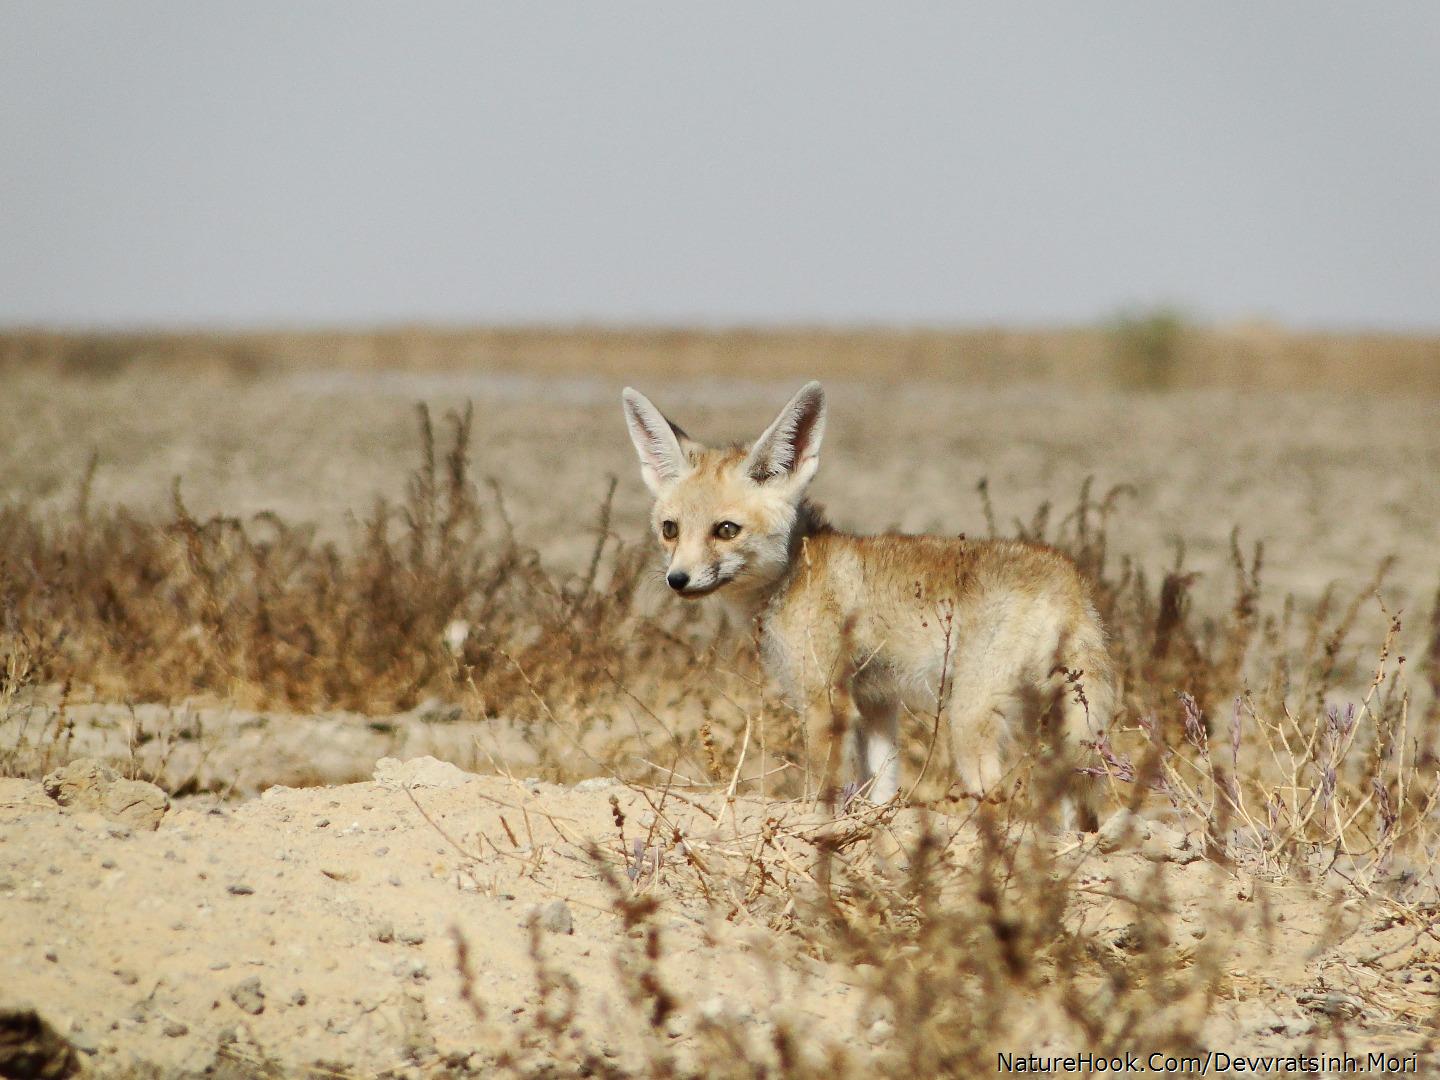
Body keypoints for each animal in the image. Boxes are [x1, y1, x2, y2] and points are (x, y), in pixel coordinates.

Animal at [622, 383, 1111, 829]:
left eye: (726, 530)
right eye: (670, 529)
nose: (677, 580)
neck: (795, 569)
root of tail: (1069, 577)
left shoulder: (826, 702)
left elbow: (823, 789)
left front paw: (818, 830)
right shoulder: (877, 702)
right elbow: (882, 785)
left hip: (969, 720)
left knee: (1004, 804)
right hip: (1049, 722)